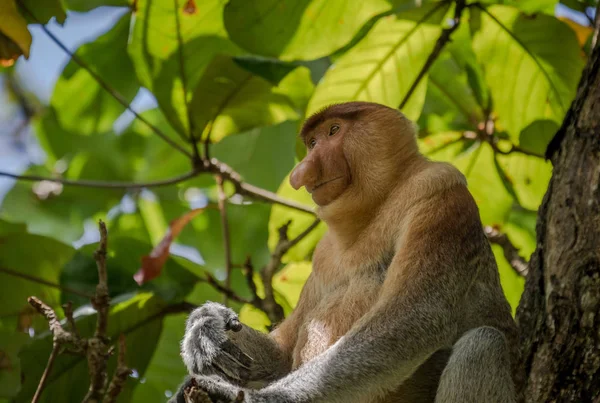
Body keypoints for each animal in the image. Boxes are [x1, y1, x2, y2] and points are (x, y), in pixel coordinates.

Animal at [172, 102, 516, 403]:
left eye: (334, 130)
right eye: (312, 142)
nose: (300, 173)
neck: (375, 206)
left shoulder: (439, 192)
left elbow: (413, 317)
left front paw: (251, 397)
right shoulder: (322, 256)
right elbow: (282, 356)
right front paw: (205, 327)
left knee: (482, 346)